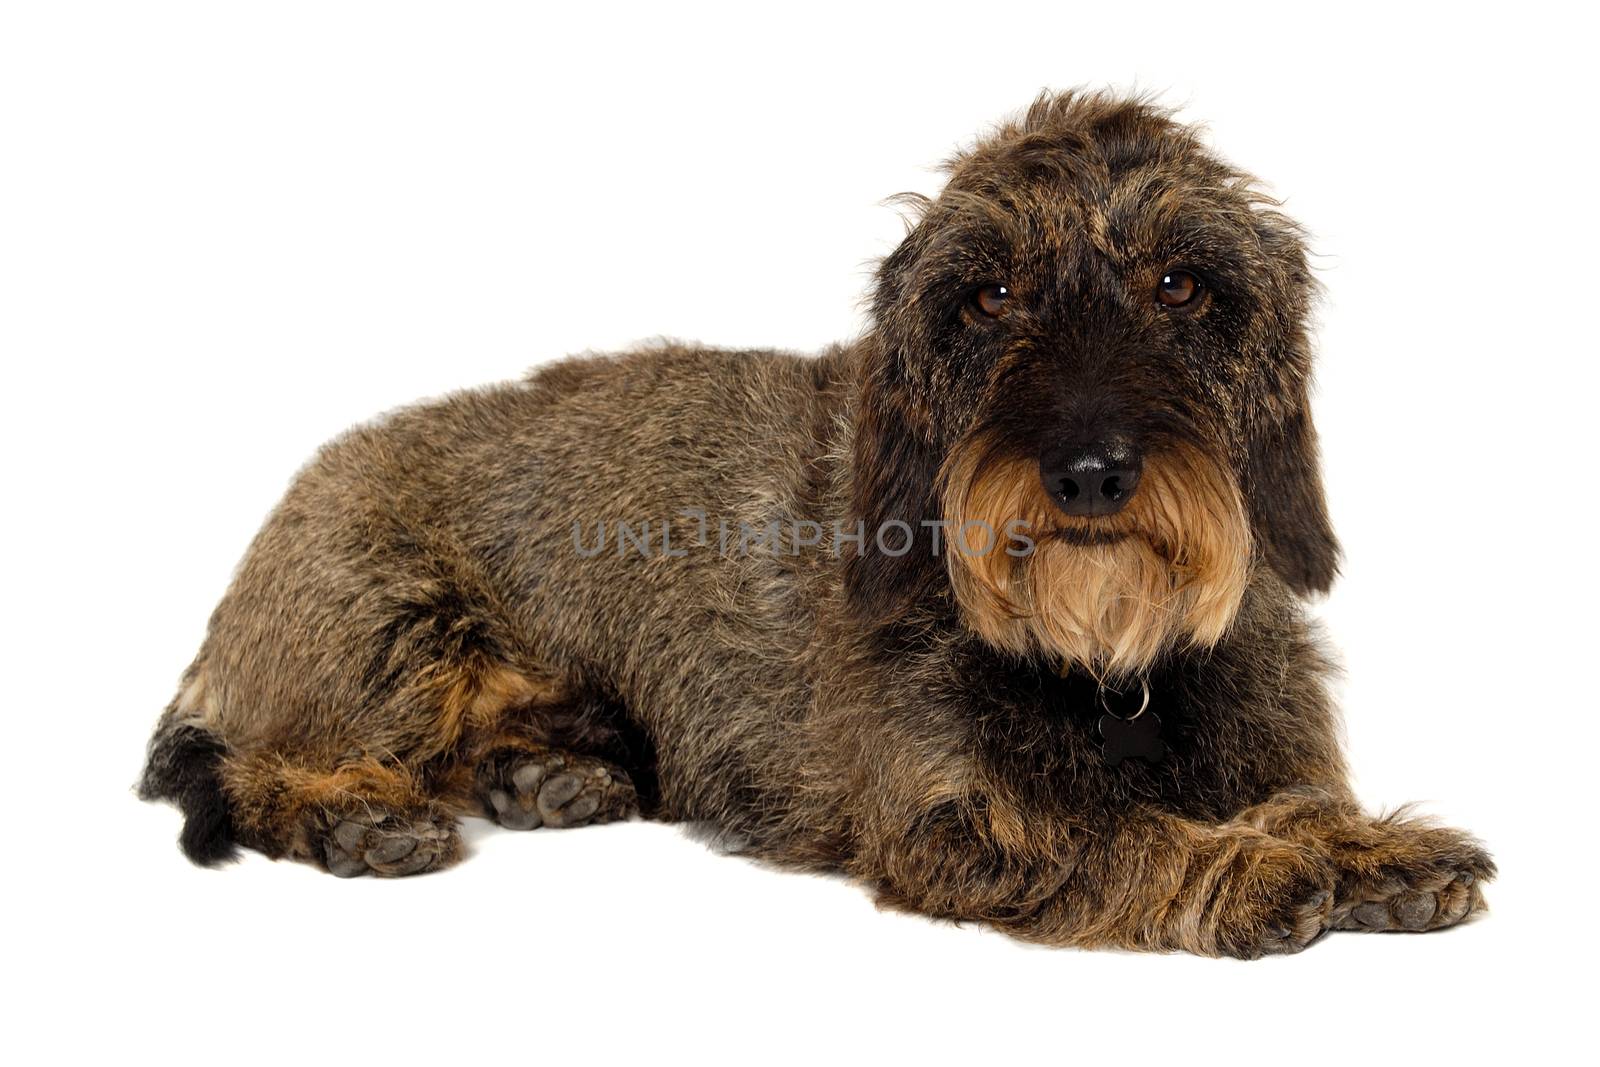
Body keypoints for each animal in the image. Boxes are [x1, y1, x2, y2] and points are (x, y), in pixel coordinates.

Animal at [137, 93, 1484, 959]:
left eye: (1181, 283)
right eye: (987, 294)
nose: (1091, 473)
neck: (1110, 668)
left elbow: (1296, 795)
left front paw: (1365, 845)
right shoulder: (953, 817)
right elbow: (1111, 834)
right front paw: (1247, 860)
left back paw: (546, 773)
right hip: (388, 633)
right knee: (250, 767)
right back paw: (351, 813)